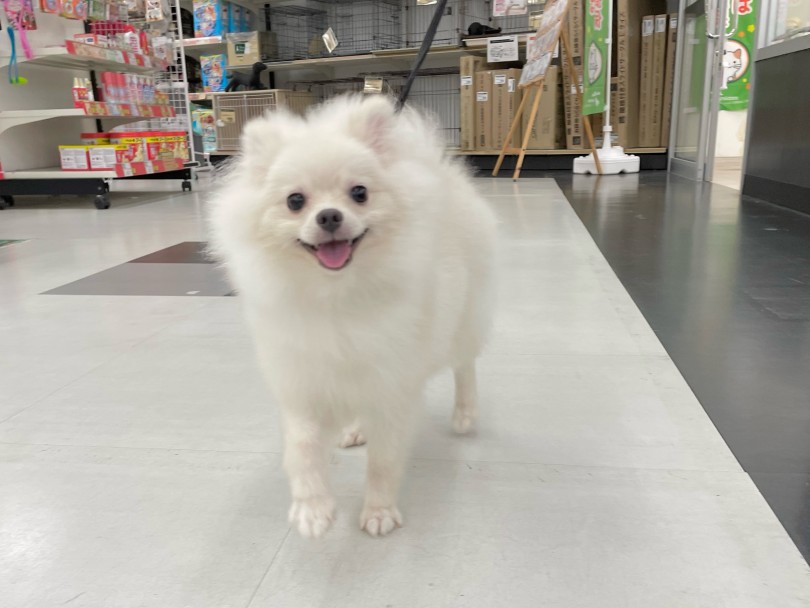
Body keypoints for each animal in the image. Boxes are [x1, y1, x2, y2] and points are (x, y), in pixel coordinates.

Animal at [208, 95, 497, 538]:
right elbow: (302, 448)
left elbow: (384, 458)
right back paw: (357, 428)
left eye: (359, 193)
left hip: (462, 318)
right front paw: (312, 508)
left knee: (464, 364)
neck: (337, 294)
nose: (329, 216)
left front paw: (379, 511)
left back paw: (464, 414)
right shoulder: (302, 378)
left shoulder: (392, 381)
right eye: (295, 201)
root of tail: (440, 170)